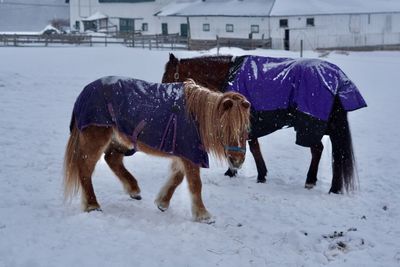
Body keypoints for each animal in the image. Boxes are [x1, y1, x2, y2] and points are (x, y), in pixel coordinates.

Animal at [63, 78, 250, 224]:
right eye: (225, 128)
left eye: (247, 129)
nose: (238, 161)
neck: (195, 116)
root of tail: (85, 91)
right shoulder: (189, 155)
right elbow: (195, 184)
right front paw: (203, 215)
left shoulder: (183, 154)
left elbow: (177, 178)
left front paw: (162, 203)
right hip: (96, 139)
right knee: (85, 168)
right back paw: (92, 205)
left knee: (112, 159)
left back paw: (133, 190)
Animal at [162, 53, 366, 194]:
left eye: (168, 77)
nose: (164, 97)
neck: (228, 74)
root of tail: (337, 80)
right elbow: (253, 148)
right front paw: (260, 174)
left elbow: (247, 148)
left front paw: (234, 171)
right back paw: (327, 184)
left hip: (310, 126)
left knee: (319, 150)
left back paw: (319, 183)